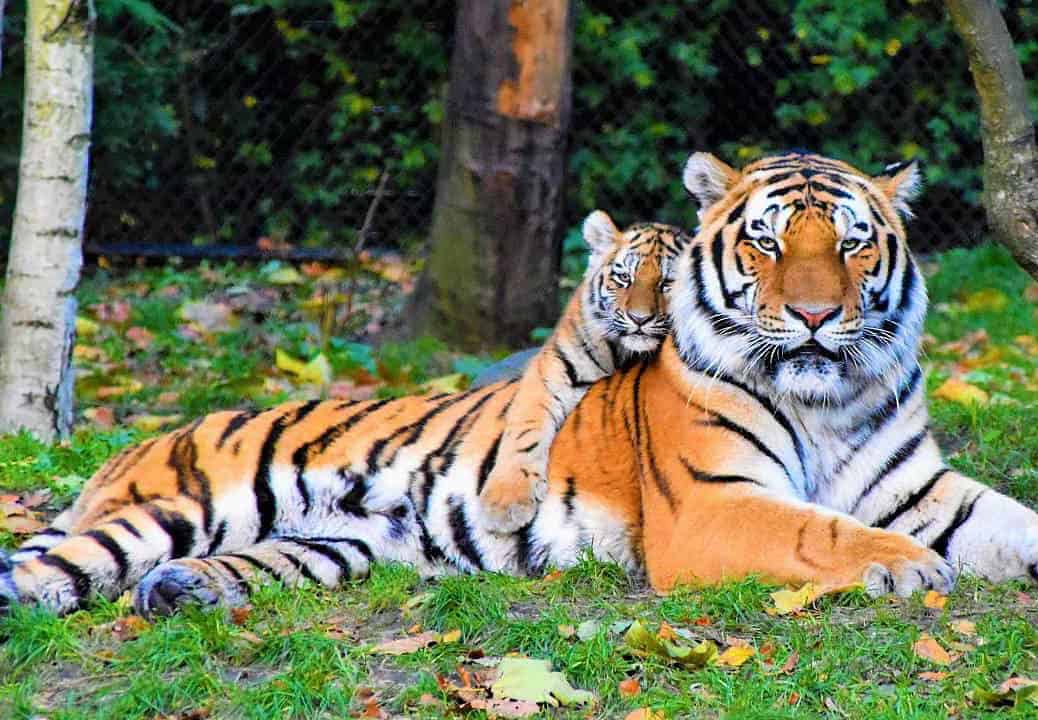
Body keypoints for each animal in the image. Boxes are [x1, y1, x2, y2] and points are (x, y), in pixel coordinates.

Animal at [478, 210, 688, 533]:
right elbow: (525, 429)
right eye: (624, 278)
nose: (639, 319)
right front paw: (505, 503)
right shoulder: (552, 369)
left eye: (667, 282)